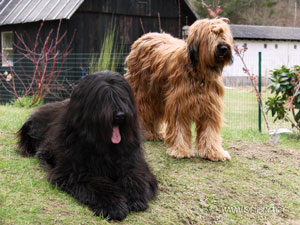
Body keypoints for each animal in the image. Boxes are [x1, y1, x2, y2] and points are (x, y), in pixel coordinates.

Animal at [18, 71, 159, 221]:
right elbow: (97, 184)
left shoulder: (133, 162)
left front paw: (135, 198)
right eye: (104, 97)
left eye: (123, 97)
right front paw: (113, 205)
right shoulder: (73, 171)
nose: (120, 115)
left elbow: (135, 176)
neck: (104, 146)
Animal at [124, 18, 234, 161]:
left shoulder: (211, 106)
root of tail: (144, 37)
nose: (223, 48)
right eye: (211, 34)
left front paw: (214, 152)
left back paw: (155, 134)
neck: (200, 74)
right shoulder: (179, 103)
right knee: (143, 111)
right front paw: (180, 150)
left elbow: (210, 130)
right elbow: (179, 127)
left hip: (157, 96)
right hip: (142, 91)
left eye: (224, 33)